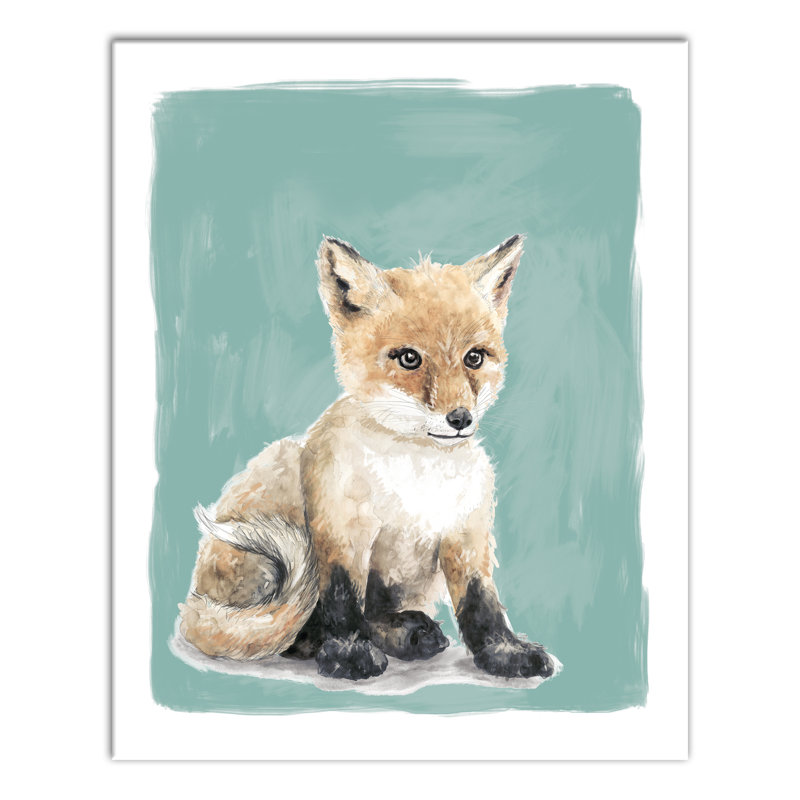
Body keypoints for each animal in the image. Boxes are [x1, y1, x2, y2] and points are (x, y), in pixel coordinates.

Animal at [178, 233, 556, 681]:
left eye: (474, 358)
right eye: (409, 358)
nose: (461, 419)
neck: (418, 476)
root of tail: (194, 604)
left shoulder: (466, 533)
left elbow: (481, 603)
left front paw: (503, 652)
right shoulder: (342, 528)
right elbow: (342, 599)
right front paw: (348, 652)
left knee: (374, 615)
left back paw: (408, 632)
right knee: (299, 626)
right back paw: (329, 641)